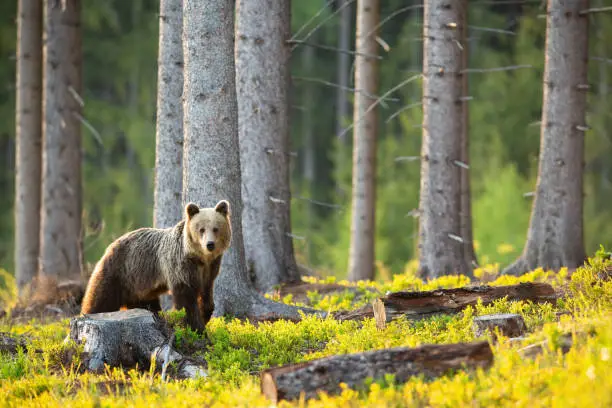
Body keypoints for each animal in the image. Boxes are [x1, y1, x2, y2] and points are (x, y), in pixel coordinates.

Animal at [80, 200, 232, 332]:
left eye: (216, 228)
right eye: (201, 229)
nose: (210, 244)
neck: (200, 258)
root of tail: (111, 245)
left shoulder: (210, 268)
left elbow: (206, 294)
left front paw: (204, 314)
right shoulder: (180, 266)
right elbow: (186, 300)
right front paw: (195, 326)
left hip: (139, 285)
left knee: (145, 303)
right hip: (119, 271)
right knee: (101, 298)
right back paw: (88, 314)